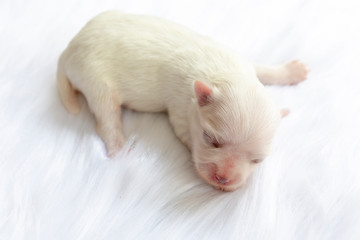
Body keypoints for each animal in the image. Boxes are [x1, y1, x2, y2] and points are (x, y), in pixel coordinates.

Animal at [57, 11, 306, 191]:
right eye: (210, 139)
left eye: (257, 160)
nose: (223, 178)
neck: (222, 72)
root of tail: (68, 49)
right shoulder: (179, 109)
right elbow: (185, 133)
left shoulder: (243, 64)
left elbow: (263, 69)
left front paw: (292, 71)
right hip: (96, 81)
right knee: (107, 118)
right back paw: (120, 148)